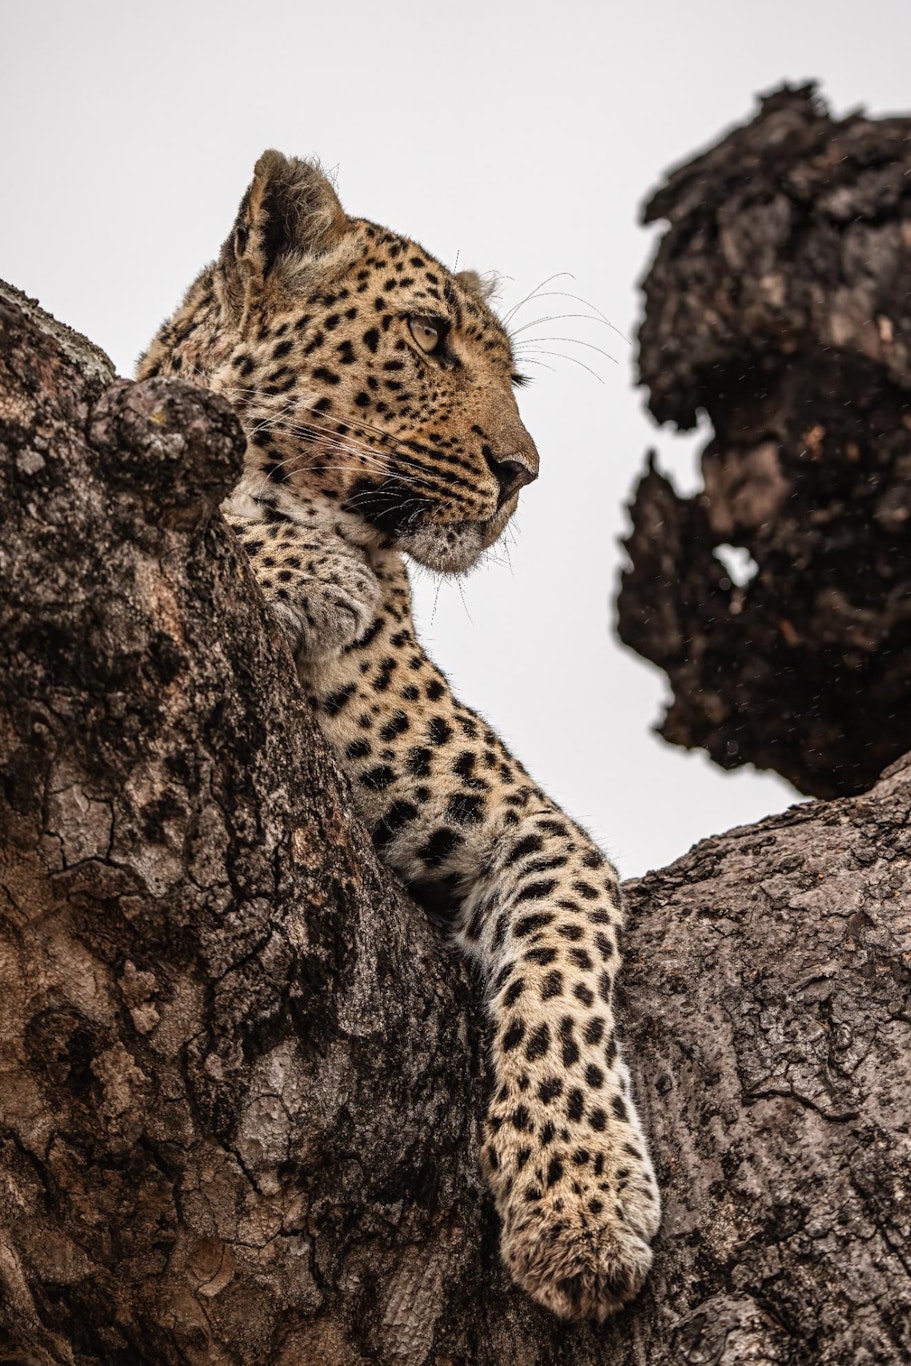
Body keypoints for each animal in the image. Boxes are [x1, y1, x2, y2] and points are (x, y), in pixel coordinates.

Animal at [138, 150, 660, 1321]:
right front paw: (305, 570)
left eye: (514, 376)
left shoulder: (532, 831)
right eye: (427, 337)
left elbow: (557, 988)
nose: (522, 472)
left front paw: (578, 1206)